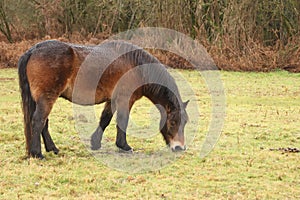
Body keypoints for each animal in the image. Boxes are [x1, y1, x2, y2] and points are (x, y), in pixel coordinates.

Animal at [17, 39, 189, 159]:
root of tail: (33, 50)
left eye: (185, 122)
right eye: (173, 122)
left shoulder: (112, 100)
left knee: (43, 123)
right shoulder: (125, 99)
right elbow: (122, 121)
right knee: (38, 121)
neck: (136, 66)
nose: (179, 148)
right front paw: (124, 146)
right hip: (47, 98)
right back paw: (37, 153)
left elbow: (105, 119)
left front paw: (95, 143)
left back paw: (52, 149)